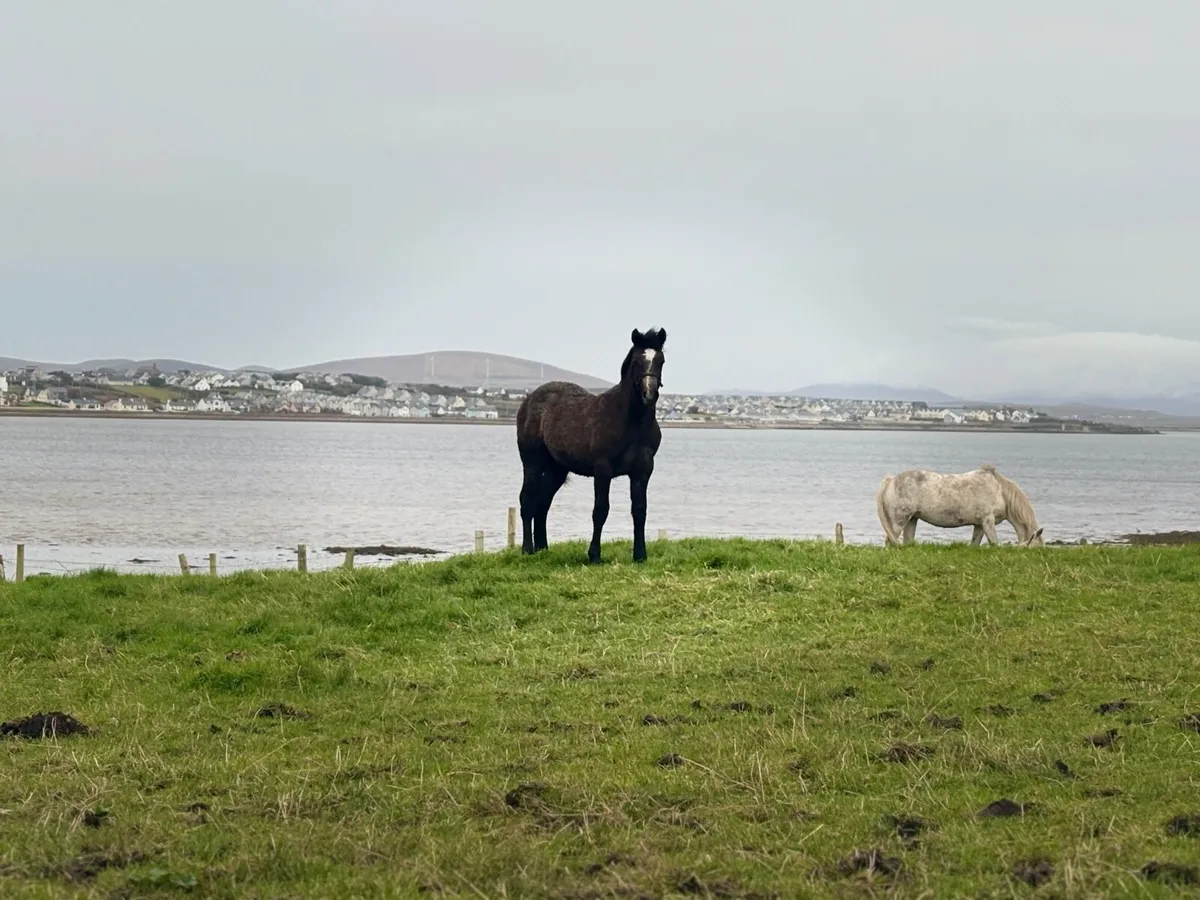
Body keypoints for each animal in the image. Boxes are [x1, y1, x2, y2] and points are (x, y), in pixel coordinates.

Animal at [515, 327, 667, 564]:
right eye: (636, 361)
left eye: (661, 360)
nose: (649, 394)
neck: (630, 421)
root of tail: (529, 401)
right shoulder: (602, 469)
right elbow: (600, 510)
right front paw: (594, 555)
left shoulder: (643, 470)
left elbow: (640, 510)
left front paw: (640, 555)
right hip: (532, 463)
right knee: (528, 500)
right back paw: (527, 549)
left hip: (557, 469)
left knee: (543, 503)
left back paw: (542, 548)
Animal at [876, 464, 1045, 547]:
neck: (1000, 491)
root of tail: (891, 480)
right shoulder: (987, 520)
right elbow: (994, 543)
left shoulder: (980, 525)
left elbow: (975, 544)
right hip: (899, 521)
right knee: (890, 542)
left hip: (912, 519)